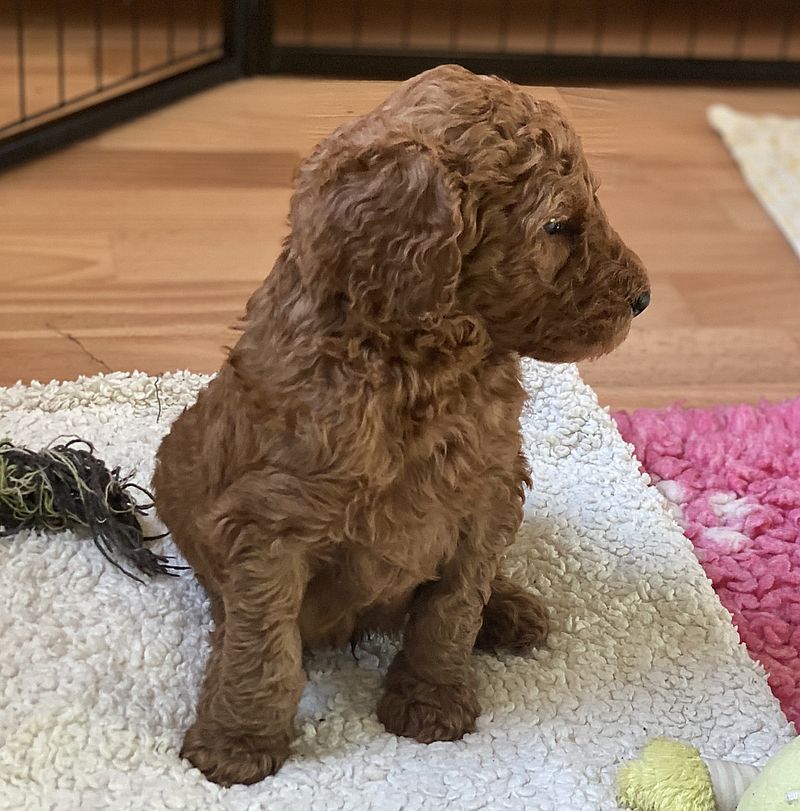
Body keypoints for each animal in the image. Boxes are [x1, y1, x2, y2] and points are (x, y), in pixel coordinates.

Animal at [152, 64, 649, 786]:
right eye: (558, 225)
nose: (644, 297)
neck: (424, 370)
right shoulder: (267, 526)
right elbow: (264, 646)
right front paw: (238, 739)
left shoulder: (487, 495)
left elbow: (450, 610)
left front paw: (430, 700)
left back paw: (508, 608)